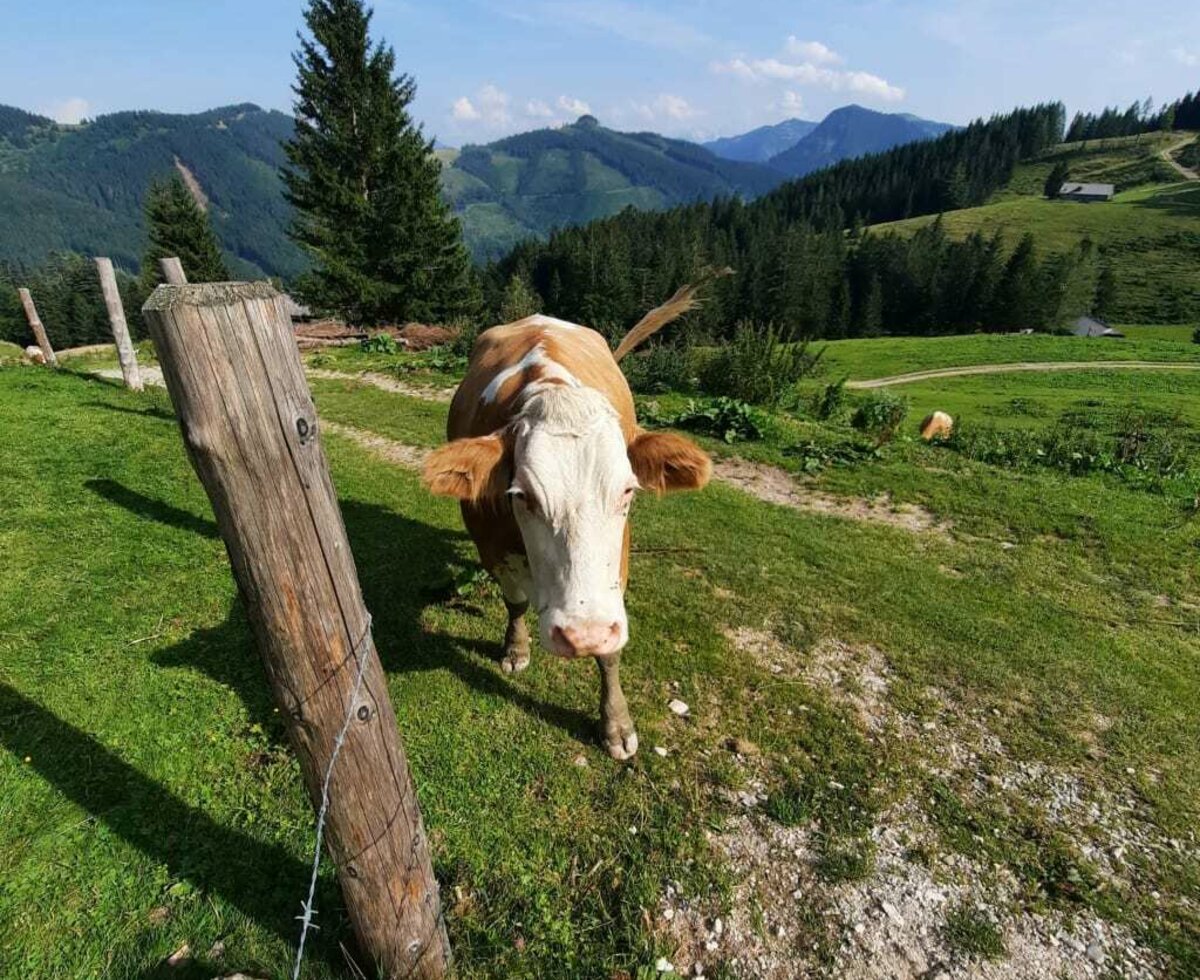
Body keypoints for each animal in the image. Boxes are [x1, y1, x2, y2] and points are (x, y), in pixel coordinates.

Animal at [427, 286, 715, 762]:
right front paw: (516, 648)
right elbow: (515, 603)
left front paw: (616, 723)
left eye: (628, 491)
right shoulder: (492, 548)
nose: (583, 635)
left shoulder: (615, 568)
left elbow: (611, 653)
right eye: (521, 496)